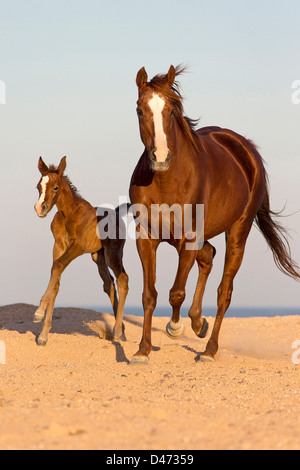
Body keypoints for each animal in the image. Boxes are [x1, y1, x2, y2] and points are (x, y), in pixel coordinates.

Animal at [34, 156, 127, 344]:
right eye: (38, 186)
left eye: (55, 187)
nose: (40, 208)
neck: (68, 215)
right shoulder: (58, 245)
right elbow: (56, 279)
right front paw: (43, 335)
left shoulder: (77, 246)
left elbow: (57, 266)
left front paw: (39, 313)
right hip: (98, 256)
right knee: (109, 284)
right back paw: (118, 330)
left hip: (113, 254)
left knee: (123, 280)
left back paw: (118, 332)